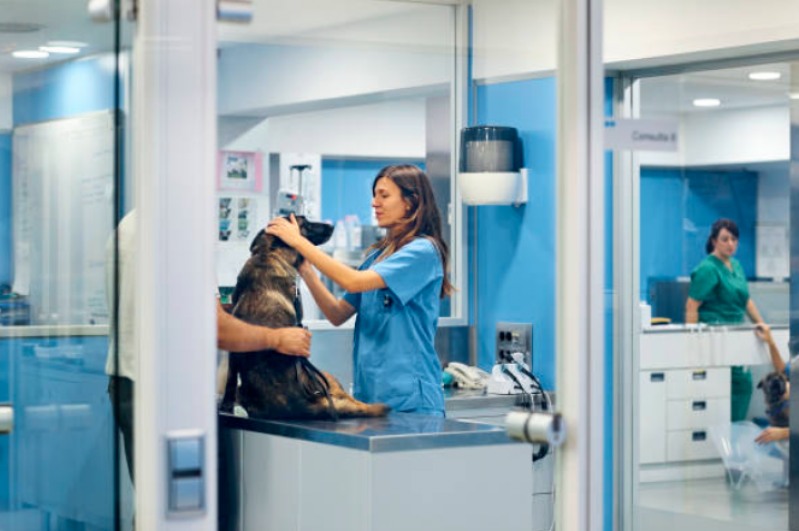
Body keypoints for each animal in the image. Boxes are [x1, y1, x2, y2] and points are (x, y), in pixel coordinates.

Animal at [220, 215, 390, 420]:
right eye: (306, 223)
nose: (331, 226)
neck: (268, 254)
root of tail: (303, 406)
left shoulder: (234, 351)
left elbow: (229, 381)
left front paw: (225, 407)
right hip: (327, 377)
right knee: (353, 400)